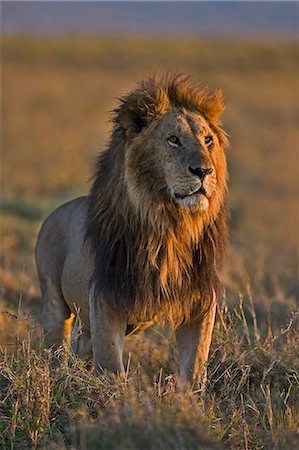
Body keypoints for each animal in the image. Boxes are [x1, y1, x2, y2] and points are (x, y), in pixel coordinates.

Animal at [37, 74, 230, 386]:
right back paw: (56, 379)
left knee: (82, 345)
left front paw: (188, 400)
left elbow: (194, 367)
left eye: (208, 140)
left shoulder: (200, 301)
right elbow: (111, 367)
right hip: (54, 303)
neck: (170, 228)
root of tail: (52, 215)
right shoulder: (106, 299)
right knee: (56, 349)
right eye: (173, 140)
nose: (204, 171)